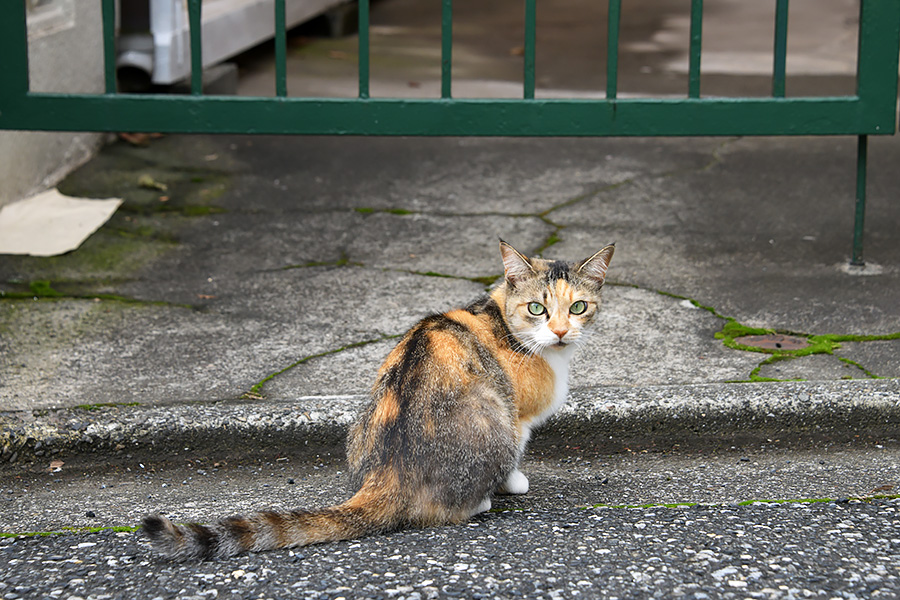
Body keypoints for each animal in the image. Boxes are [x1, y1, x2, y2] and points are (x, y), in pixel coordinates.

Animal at [144, 239, 616, 556]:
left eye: (577, 307)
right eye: (537, 308)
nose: (560, 331)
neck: (502, 314)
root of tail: (388, 474)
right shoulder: (517, 417)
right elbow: (518, 449)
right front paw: (512, 482)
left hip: (360, 421)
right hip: (490, 413)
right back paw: (479, 499)